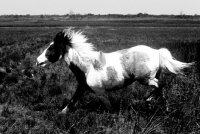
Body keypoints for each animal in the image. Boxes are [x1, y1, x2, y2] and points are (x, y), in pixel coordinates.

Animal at [35, 28, 194, 113]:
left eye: (51, 48)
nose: (37, 61)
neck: (87, 67)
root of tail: (156, 52)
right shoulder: (82, 88)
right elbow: (71, 101)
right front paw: (61, 113)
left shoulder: (100, 92)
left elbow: (109, 107)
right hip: (151, 78)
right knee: (161, 89)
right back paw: (159, 107)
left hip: (145, 79)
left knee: (160, 86)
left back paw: (149, 103)